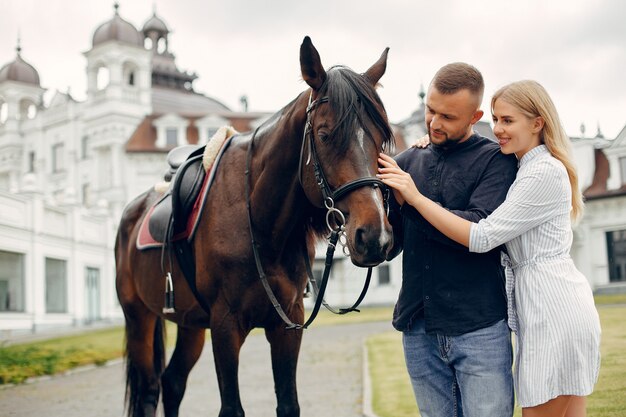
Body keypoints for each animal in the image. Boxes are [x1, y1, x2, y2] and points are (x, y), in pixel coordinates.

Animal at [114, 36, 392, 416]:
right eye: (324, 135)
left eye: (380, 139)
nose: (374, 236)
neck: (260, 225)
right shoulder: (225, 326)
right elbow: (231, 408)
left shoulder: (286, 324)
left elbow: (288, 403)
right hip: (138, 317)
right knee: (149, 390)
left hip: (190, 324)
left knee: (172, 383)